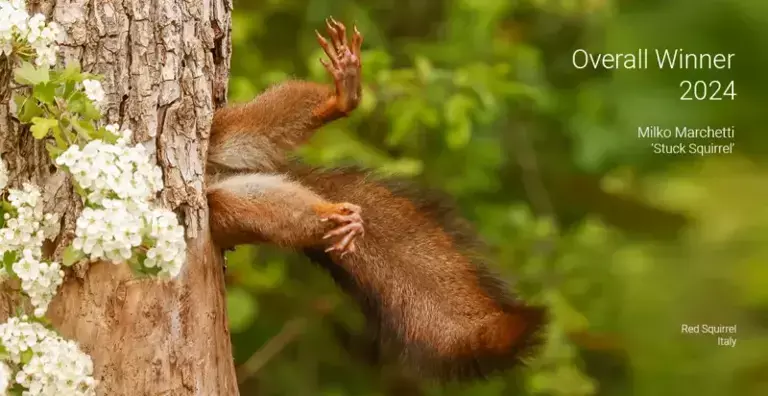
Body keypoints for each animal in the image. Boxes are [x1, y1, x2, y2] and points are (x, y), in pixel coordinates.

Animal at [202, 17, 544, 380]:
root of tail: (215, 174)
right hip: (227, 207)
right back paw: (334, 219)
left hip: (224, 131)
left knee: (264, 120)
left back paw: (342, 97)